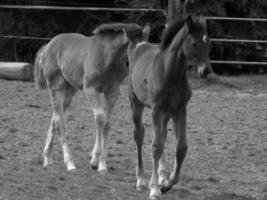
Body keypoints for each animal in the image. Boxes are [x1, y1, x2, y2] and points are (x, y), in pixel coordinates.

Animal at [35, 22, 144, 173]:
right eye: (135, 49)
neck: (107, 56)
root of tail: (48, 46)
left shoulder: (113, 92)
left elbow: (107, 123)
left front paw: (102, 165)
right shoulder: (91, 90)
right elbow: (100, 118)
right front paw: (95, 161)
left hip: (69, 91)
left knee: (54, 118)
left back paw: (47, 159)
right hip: (57, 87)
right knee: (59, 122)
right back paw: (69, 163)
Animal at [129, 16, 213, 199]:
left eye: (208, 42)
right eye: (194, 43)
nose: (206, 71)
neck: (171, 73)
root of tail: (140, 45)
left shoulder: (180, 110)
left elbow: (181, 147)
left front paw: (167, 184)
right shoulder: (156, 109)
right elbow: (156, 146)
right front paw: (154, 189)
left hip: (166, 114)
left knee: (163, 135)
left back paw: (162, 176)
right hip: (136, 104)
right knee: (139, 135)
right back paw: (140, 180)